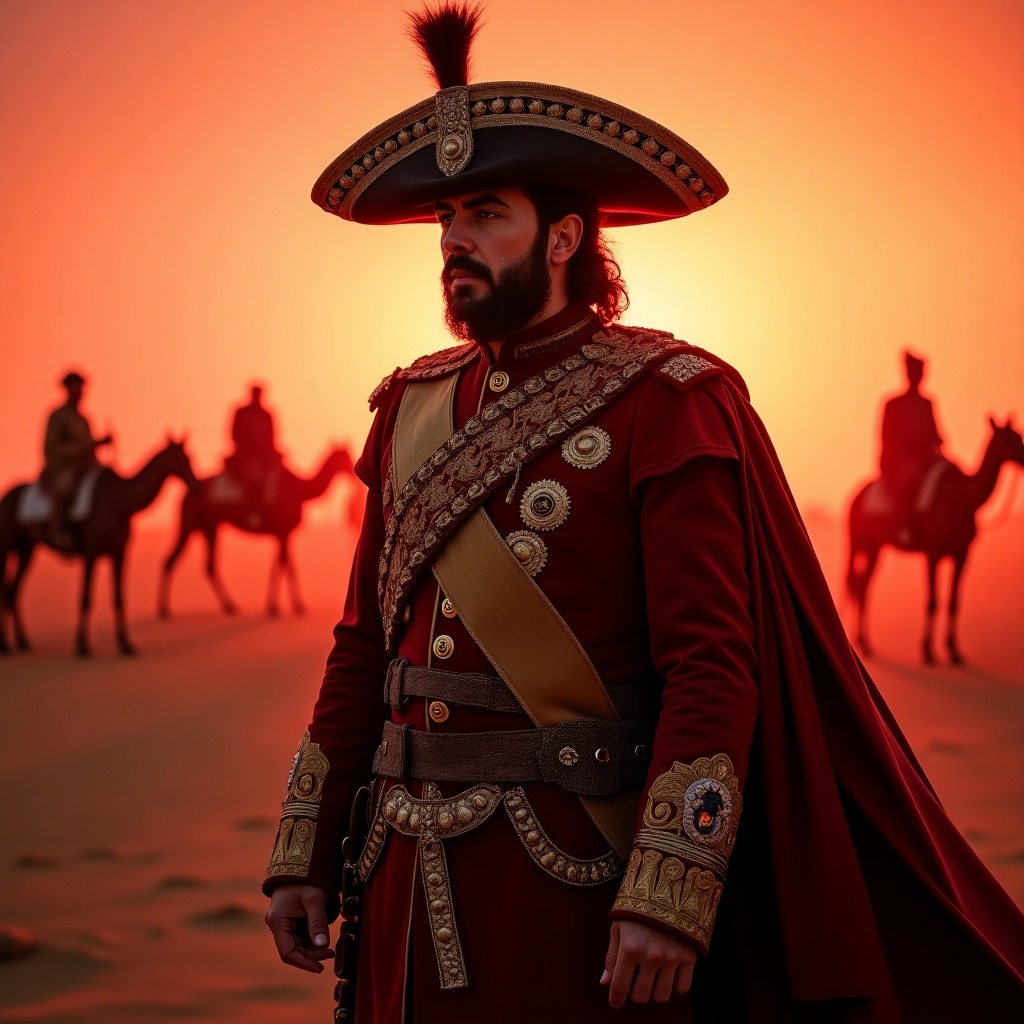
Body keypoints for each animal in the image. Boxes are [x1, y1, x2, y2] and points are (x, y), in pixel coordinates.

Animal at [0, 440, 197, 655]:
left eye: (189, 456)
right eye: (178, 458)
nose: (195, 484)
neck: (120, 502)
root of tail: (5, 498)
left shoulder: (119, 553)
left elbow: (119, 597)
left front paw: (126, 644)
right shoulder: (91, 553)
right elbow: (86, 597)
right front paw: (82, 646)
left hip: (26, 549)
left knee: (13, 591)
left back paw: (22, 642)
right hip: (6, 547)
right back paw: (5, 645)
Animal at [157, 446, 352, 614]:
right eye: (345, 458)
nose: (352, 472)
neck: (301, 490)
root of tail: (187, 492)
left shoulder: (283, 534)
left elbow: (283, 565)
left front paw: (283, 606)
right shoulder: (283, 532)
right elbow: (284, 566)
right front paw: (286, 607)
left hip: (209, 526)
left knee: (207, 565)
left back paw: (229, 606)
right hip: (189, 524)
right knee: (172, 560)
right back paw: (164, 610)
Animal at [847, 415, 1024, 663]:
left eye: (1019, 436)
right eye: (1007, 439)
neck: (960, 500)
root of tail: (855, 497)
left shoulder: (962, 555)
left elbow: (953, 601)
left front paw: (954, 650)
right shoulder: (932, 555)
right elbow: (933, 600)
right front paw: (927, 651)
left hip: (874, 548)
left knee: (863, 586)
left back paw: (866, 644)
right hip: (859, 543)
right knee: (858, 584)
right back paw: (863, 644)